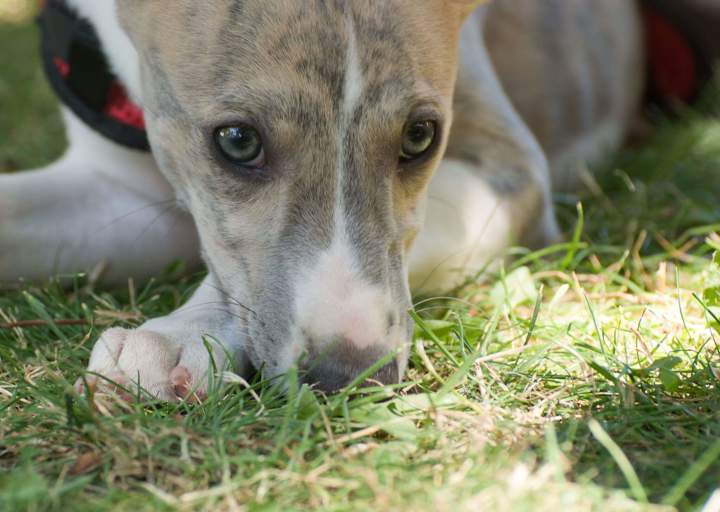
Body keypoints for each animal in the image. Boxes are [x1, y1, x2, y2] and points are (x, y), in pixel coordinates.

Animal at [1, 0, 708, 398]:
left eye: (421, 135)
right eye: (236, 140)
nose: (347, 378)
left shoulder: (512, 170)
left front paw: (177, 336)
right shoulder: (117, 186)